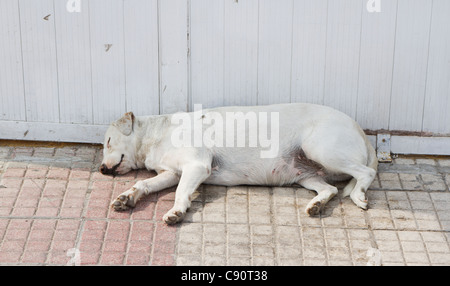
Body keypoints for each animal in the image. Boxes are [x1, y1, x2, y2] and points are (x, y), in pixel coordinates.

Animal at [100, 104, 378, 225]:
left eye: (109, 142)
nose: (101, 169)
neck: (156, 134)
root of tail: (361, 131)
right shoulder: (171, 173)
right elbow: (143, 183)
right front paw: (126, 197)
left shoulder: (197, 166)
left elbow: (180, 193)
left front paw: (177, 211)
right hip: (305, 174)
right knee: (330, 189)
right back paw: (317, 204)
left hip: (320, 149)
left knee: (366, 173)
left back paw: (359, 196)